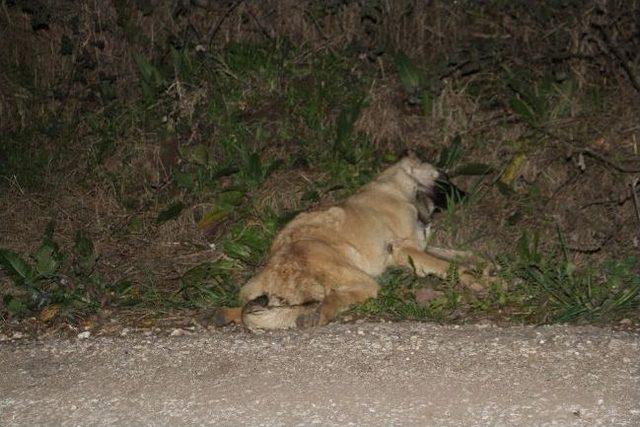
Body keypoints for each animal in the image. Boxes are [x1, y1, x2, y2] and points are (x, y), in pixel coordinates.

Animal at [222, 155, 482, 332]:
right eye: (444, 178)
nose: (468, 196)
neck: (401, 188)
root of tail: (278, 270)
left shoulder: (421, 248)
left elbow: (461, 255)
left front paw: (483, 266)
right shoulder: (405, 249)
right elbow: (451, 266)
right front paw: (476, 280)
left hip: (253, 288)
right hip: (360, 277)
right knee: (333, 299)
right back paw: (316, 314)